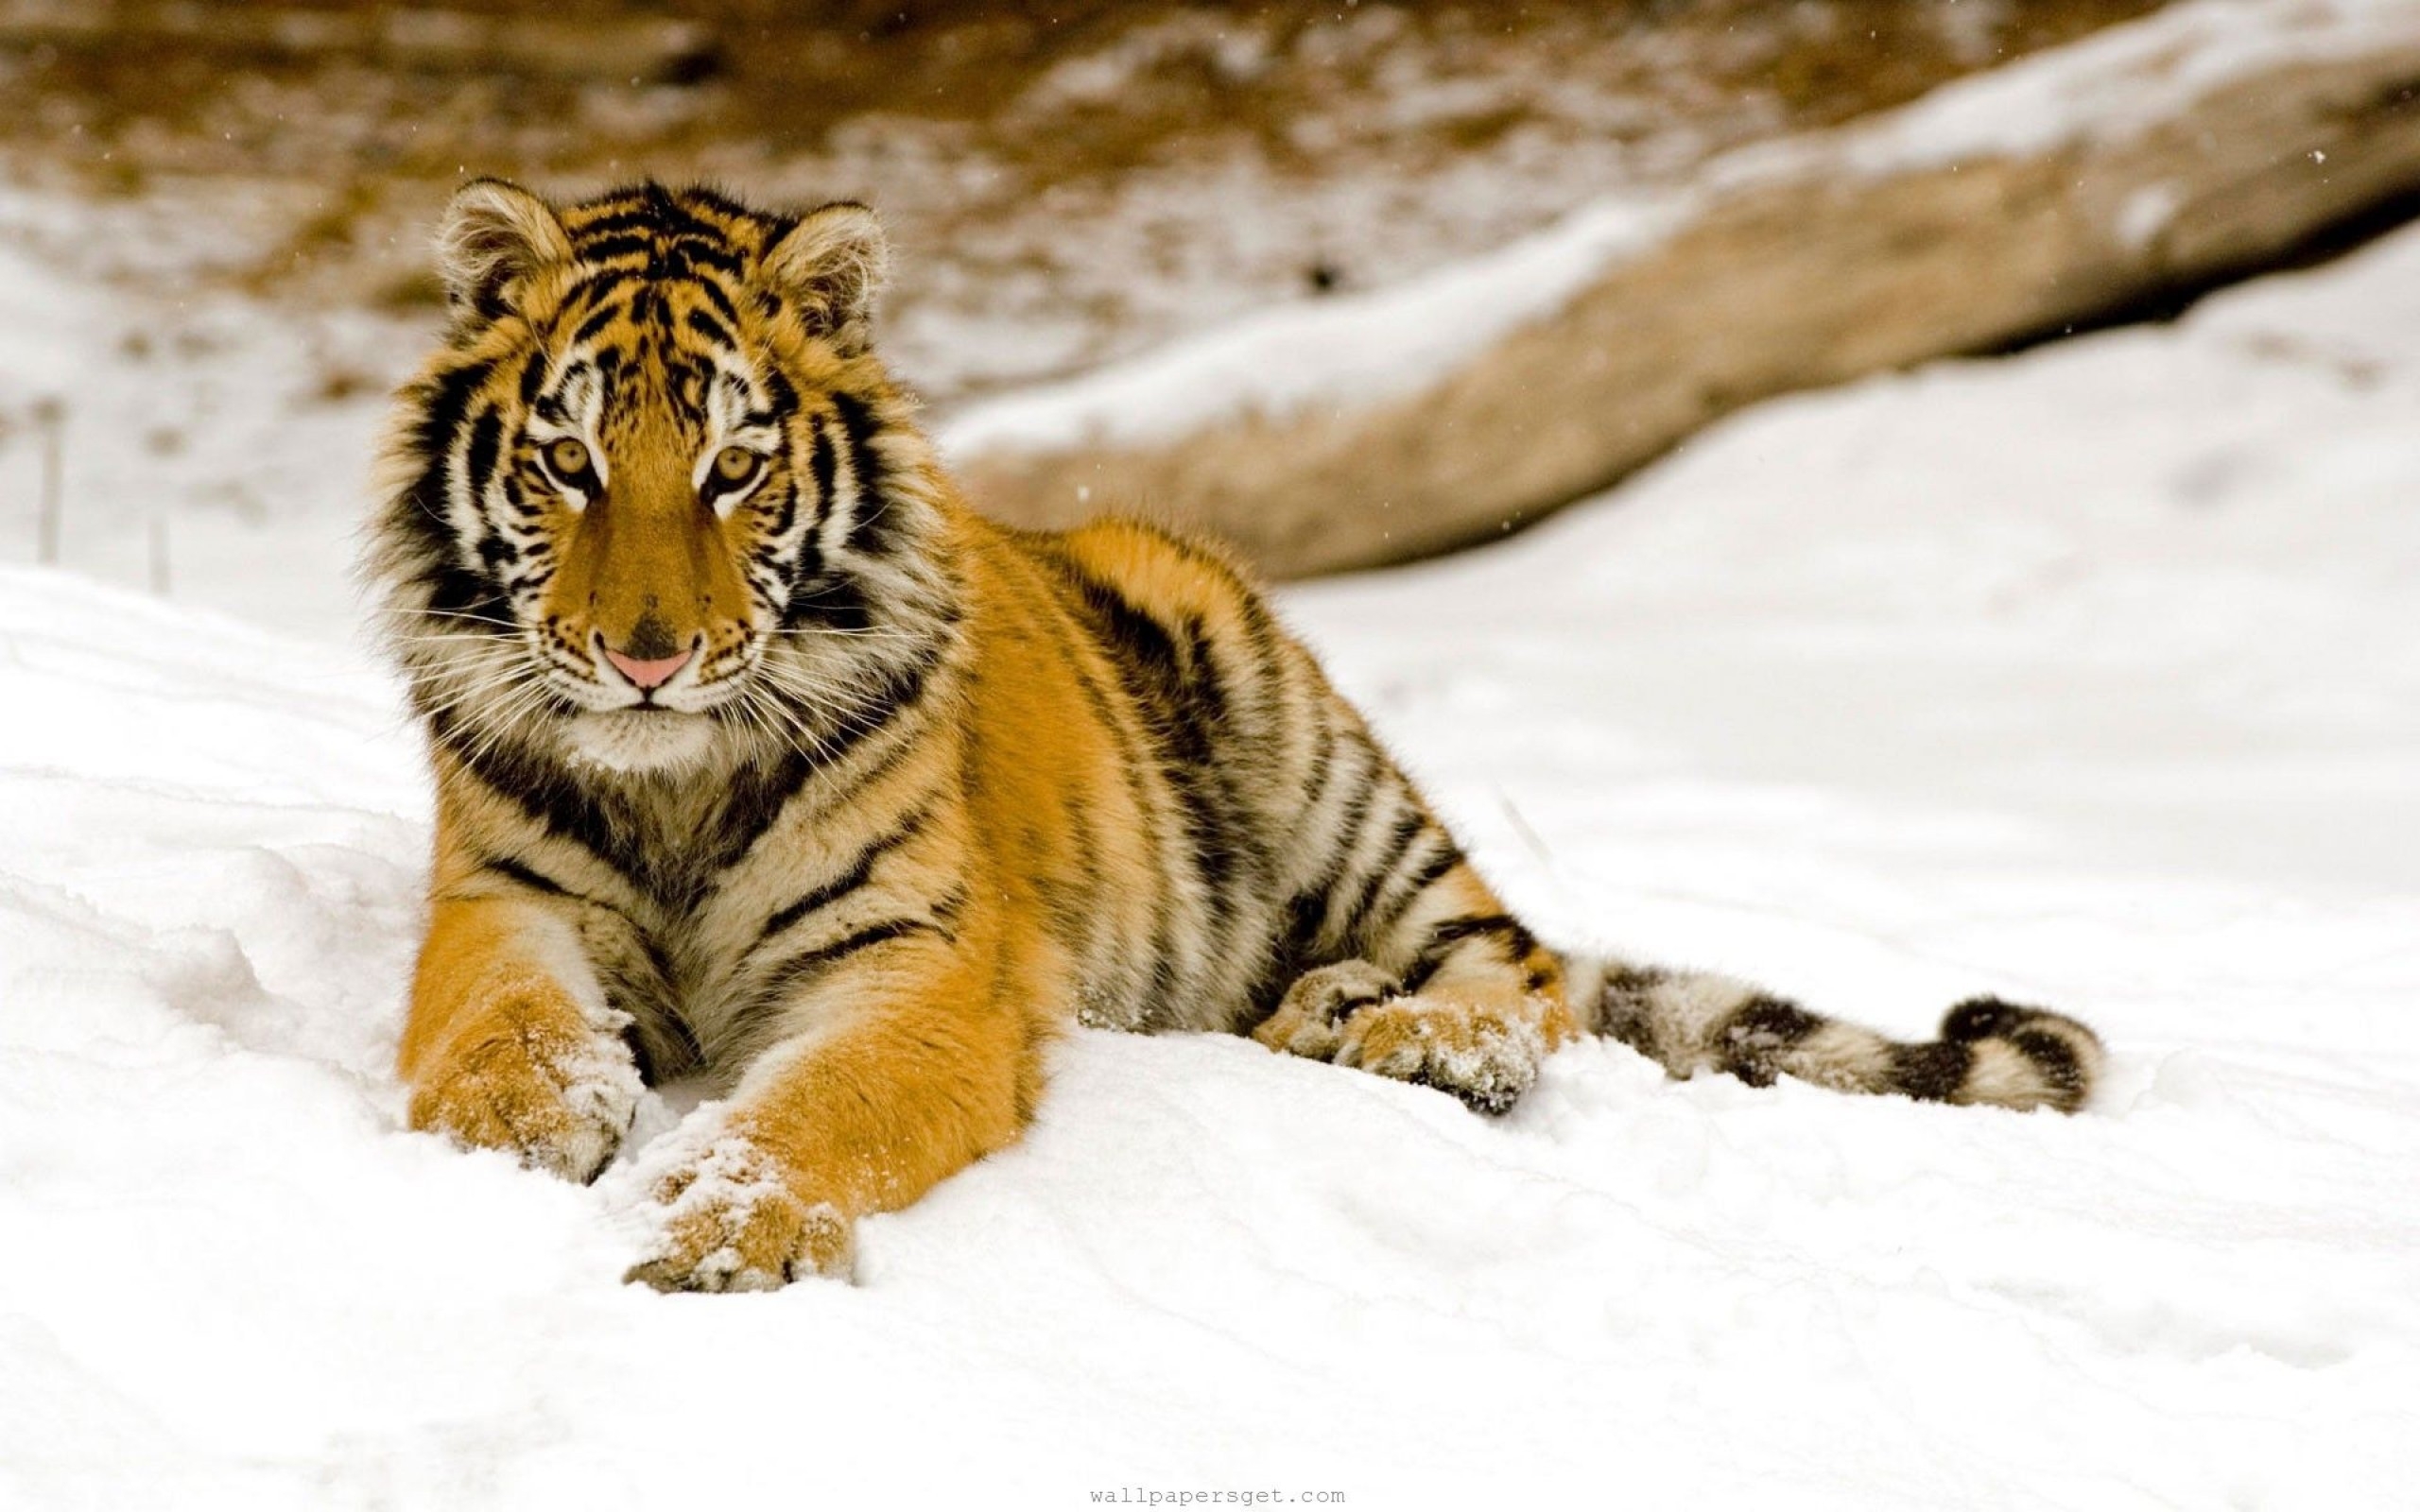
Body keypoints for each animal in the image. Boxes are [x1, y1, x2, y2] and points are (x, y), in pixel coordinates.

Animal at [368, 174, 2110, 1286]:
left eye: (733, 471)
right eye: (571, 465)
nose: (646, 658)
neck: (673, 779)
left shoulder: (924, 968)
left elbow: (817, 1109)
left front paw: (719, 1228)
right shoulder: (501, 902)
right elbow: (497, 1030)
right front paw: (512, 1141)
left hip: (1307, 739)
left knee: (1524, 977)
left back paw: (1409, 1033)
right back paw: (1327, 1010)